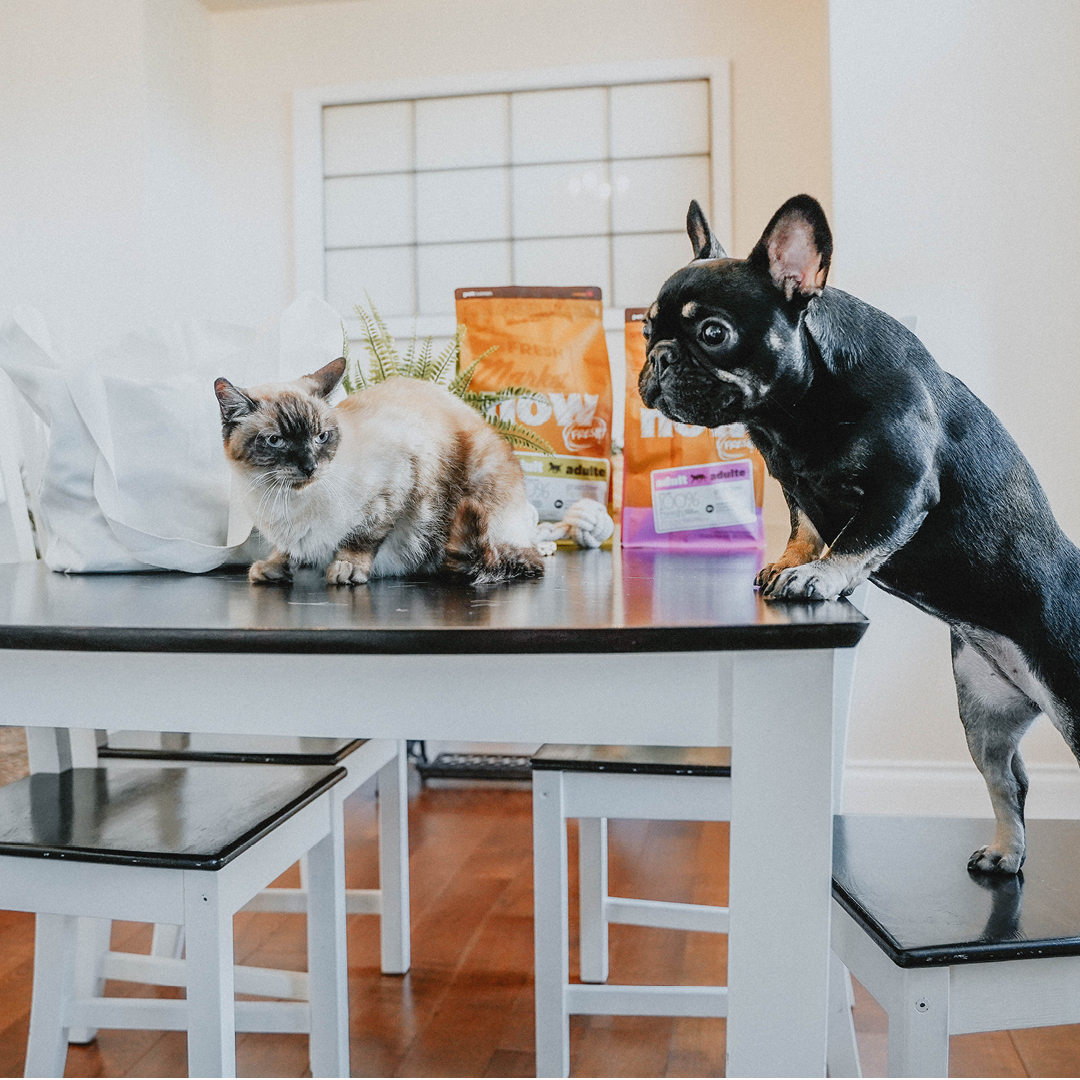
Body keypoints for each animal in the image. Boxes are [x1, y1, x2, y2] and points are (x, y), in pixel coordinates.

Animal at [635, 192, 1080, 868]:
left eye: (713, 333)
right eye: (646, 329)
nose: (658, 357)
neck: (795, 406)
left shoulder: (904, 486)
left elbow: (858, 537)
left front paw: (817, 576)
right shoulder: (791, 479)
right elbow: (806, 522)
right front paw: (790, 560)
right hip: (983, 712)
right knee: (1009, 781)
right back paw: (1007, 851)